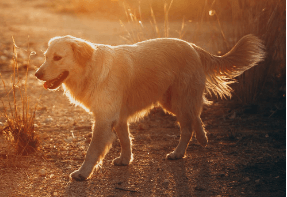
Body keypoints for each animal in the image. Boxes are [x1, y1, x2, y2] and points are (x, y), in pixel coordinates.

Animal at [35, 35, 266, 180]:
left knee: (188, 127)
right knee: (196, 116)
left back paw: (179, 152)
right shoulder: (118, 117)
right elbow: (126, 140)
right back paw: (202, 139)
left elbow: (92, 151)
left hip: (179, 101)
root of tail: (193, 47)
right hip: (171, 102)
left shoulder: (103, 119)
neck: (91, 69)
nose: (37, 74)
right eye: (45, 56)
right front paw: (126, 160)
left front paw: (82, 173)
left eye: (58, 57)